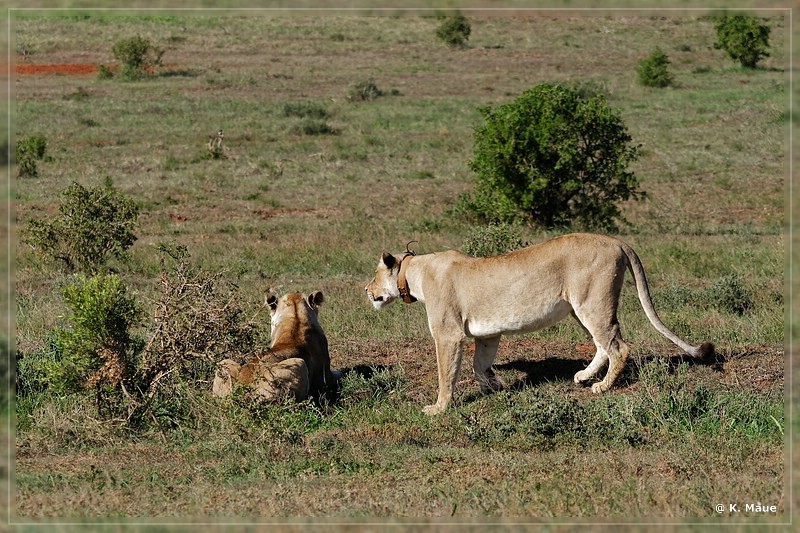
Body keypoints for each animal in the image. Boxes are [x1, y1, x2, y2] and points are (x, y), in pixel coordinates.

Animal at [366, 234, 716, 416]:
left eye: (373, 275)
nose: (366, 290)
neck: (414, 271)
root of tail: (615, 240)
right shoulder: (488, 334)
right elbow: (480, 365)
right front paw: (495, 388)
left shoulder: (448, 334)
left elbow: (446, 373)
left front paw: (438, 409)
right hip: (580, 308)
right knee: (602, 344)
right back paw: (584, 377)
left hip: (591, 303)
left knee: (618, 346)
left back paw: (602, 387)